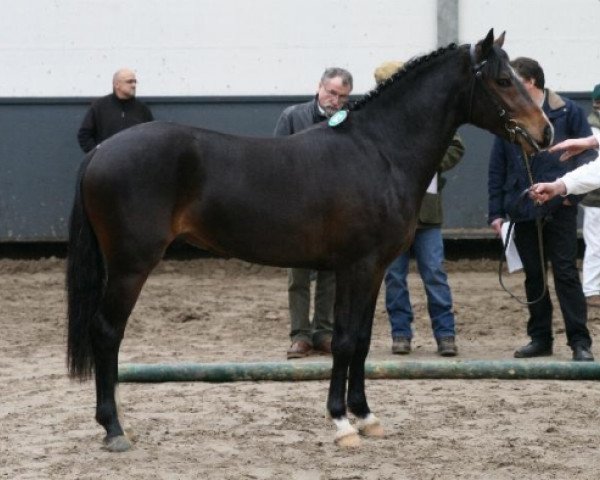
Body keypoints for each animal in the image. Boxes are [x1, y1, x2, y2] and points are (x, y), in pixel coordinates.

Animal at [67, 29, 552, 450]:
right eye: (503, 80)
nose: (545, 131)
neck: (379, 151)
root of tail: (101, 151)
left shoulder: (374, 269)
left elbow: (361, 340)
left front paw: (365, 416)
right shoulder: (357, 266)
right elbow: (343, 341)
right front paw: (341, 423)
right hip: (131, 266)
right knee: (107, 331)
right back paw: (114, 429)